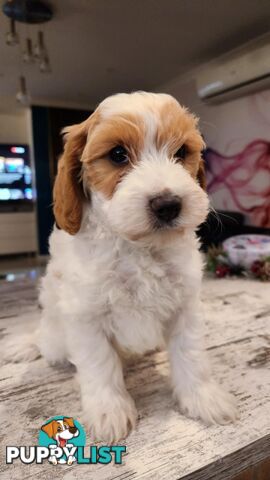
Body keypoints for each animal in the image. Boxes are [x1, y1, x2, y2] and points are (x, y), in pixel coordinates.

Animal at [38, 92, 238, 440]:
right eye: (118, 155)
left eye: (181, 152)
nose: (168, 205)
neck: (138, 247)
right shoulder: (85, 316)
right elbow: (99, 363)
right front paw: (109, 413)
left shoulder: (185, 306)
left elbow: (190, 354)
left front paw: (203, 398)